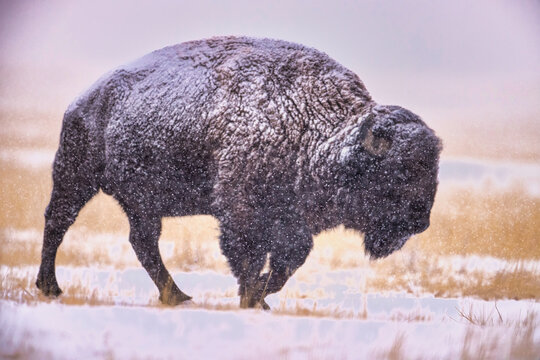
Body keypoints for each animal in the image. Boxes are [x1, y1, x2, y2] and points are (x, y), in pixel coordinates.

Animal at [38, 36, 442, 310]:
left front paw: (260, 298)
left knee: (143, 242)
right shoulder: (243, 214)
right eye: (397, 173)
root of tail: (84, 99)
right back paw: (49, 287)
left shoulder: (292, 226)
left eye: (433, 171)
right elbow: (249, 260)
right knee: (58, 222)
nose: (420, 222)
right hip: (75, 177)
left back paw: (177, 296)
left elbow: (285, 267)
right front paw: (252, 299)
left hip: (142, 204)